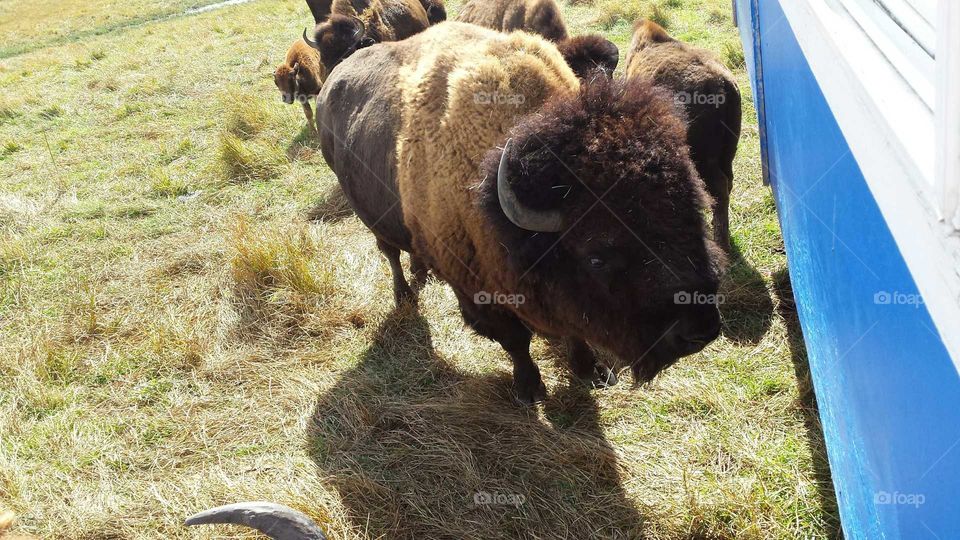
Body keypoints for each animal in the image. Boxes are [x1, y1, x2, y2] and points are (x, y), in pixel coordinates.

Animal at [317, 22, 724, 404]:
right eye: (597, 257)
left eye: (693, 214)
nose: (699, 329)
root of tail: (331, 82)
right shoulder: (477, 292)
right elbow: (515, 340)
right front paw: (530, 389)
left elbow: (572, 327)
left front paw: (591, 371)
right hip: (369, 218)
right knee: (389, 252)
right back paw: (404, 294)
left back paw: (420, 271)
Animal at [625, 19, 742, 249]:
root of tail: (723, 83)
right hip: (728, 152)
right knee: (728, 182)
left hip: (703, 158)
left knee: (719, 187)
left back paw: (720, 242)